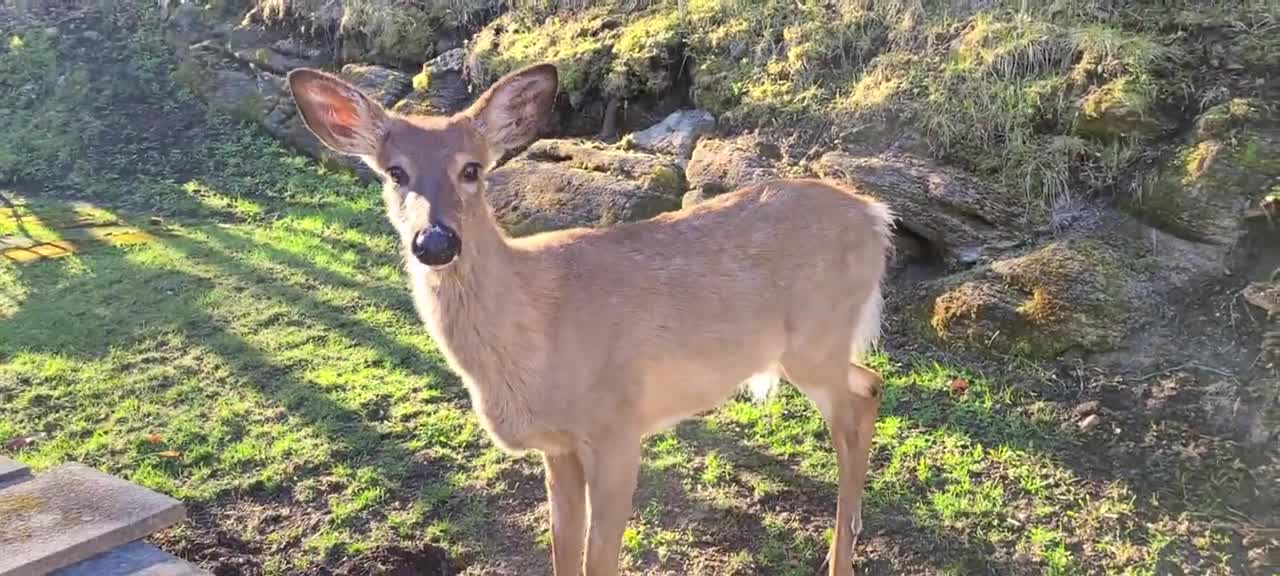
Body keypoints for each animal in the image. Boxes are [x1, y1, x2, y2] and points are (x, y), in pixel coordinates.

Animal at [288, 63, 890, 576]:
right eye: (395, 172)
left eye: (471, 169)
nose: (435, 241)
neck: (538, 334)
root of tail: (876, 214)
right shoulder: (557, 447)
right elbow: (564, 547)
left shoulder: (618, 426)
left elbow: (600, 556)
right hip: (813, 348)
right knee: (871, 383)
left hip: (816, 339)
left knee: (851, 413)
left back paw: (839, 558)